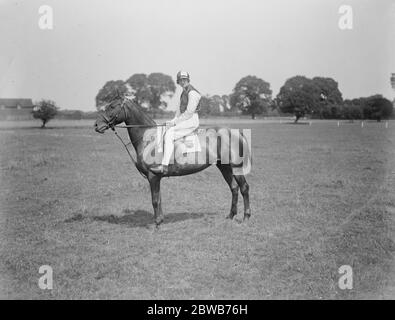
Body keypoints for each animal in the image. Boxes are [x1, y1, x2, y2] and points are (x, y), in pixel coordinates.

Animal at [94, 95, 252, 228]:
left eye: (112, 106)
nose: (96, 125)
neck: (148, 138)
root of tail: (235, 132)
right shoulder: (156, 178)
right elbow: (159, 198)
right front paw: (161, 220)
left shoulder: (153, 176)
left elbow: (154, 200)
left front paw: (157, 224)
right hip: (224, 167)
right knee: (234, 188)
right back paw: (231, 215)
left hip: (236, 167)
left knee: (244, 188)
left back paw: (246, 217)